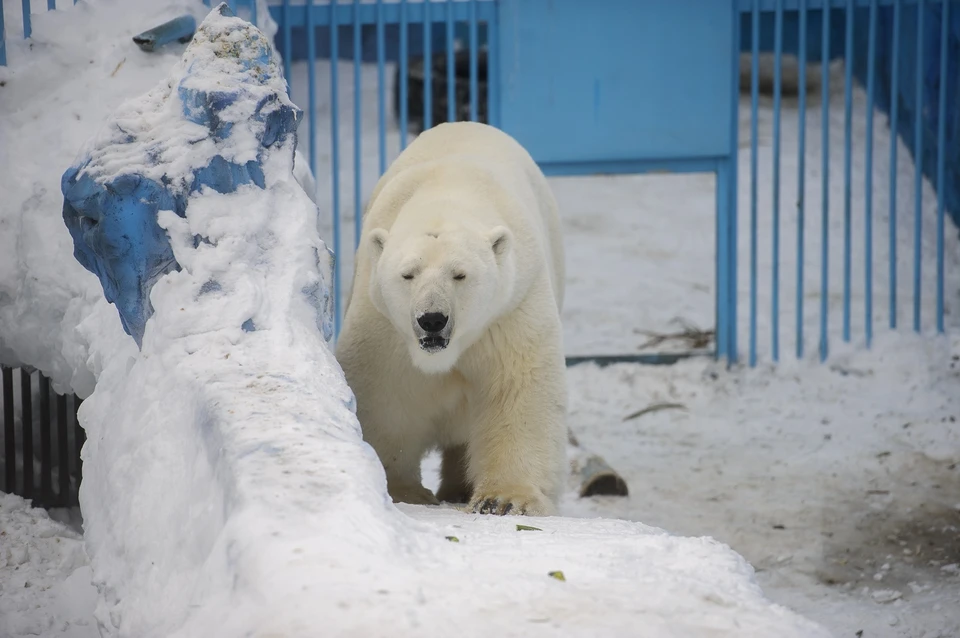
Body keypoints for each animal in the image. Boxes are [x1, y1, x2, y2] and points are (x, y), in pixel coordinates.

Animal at [336, 121, 568, 520]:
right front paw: (401, 490)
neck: (448, 190)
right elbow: (385, 394)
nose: (432, 319)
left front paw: (505, 500)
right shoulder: (383, 324)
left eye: (459, 274)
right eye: (408, 274)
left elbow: (519, 388)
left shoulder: (511, 307)